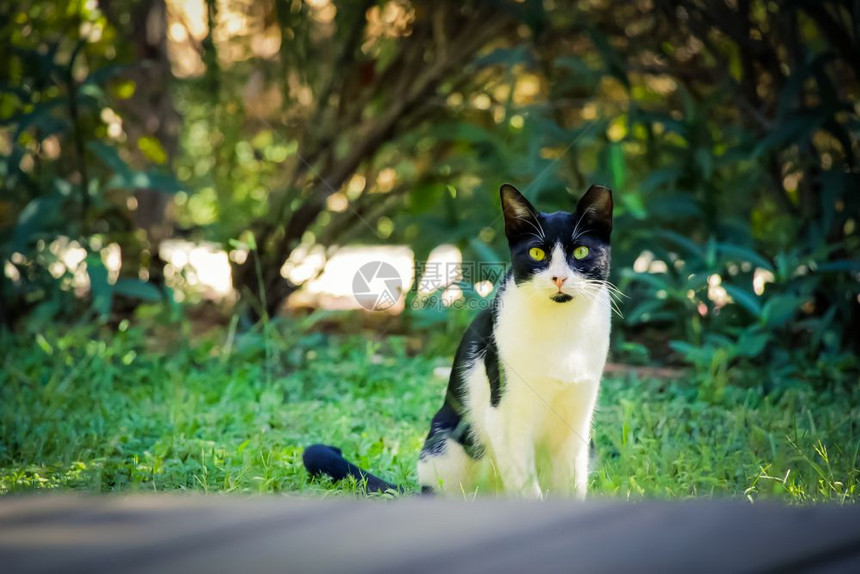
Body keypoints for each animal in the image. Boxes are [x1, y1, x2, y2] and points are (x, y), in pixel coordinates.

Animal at [302, 184, 612, 500]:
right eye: (537, 253)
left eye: (581, 251)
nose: (559, 278)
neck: (562, 327)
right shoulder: (507, 416)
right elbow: (526, 485)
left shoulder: (577, 417)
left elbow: (571, 483)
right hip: (445, 443)